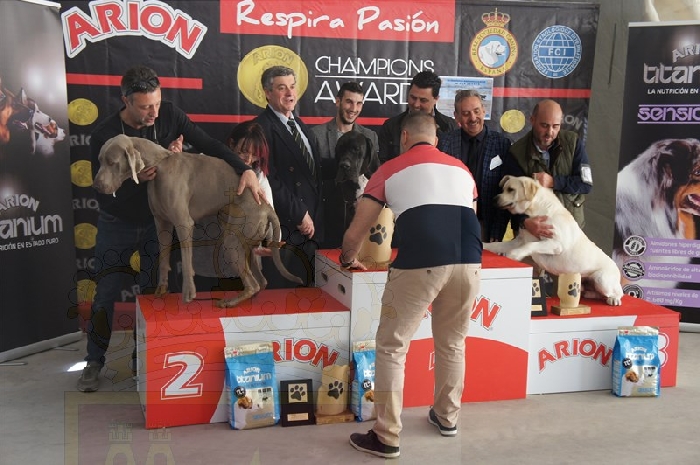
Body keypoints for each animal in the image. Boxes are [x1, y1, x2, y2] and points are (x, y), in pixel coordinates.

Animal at [92, 134, 302, 308]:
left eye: (112, 162)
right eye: (100, 160)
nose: (96, 186)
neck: (160, 165)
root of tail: (267, 206)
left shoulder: (184, 223)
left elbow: (186, 261)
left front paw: (188, 293)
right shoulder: (162, 223)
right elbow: (163, 257)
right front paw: (161, 289)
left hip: (232, 240)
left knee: (252, 284)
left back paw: (229, 302)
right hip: (244, 240)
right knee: (260, 281)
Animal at [484, 175, 623, 305]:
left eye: (510, 189)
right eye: (503, 189)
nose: (493, 200)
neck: (536, 210)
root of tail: (616, 267)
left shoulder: (555, 244)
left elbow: (530, 245)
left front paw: (514, 254)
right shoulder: (518, 241)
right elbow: (496, 244)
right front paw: (485, 245)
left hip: (602, 280)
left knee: (618, 292)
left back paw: (614, 299)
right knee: (597, 294)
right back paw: (588, 294)